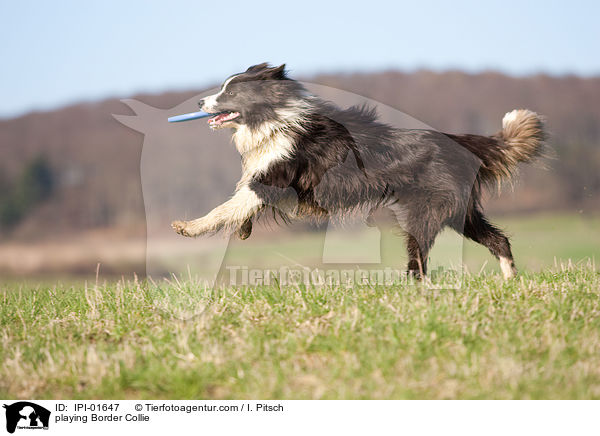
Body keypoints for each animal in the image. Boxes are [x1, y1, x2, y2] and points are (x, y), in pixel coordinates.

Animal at [171, 62, 548, 280]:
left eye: (230, 91)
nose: (199, 102)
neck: (274, 118)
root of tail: (461, 143)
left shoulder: (278, 175)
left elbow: (228, 205)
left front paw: (189, 227)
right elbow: (241, 201)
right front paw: (244, 230)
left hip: (430, 209)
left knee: (420, 257)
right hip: (461, 211)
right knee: (497, 239)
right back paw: (510, 280)